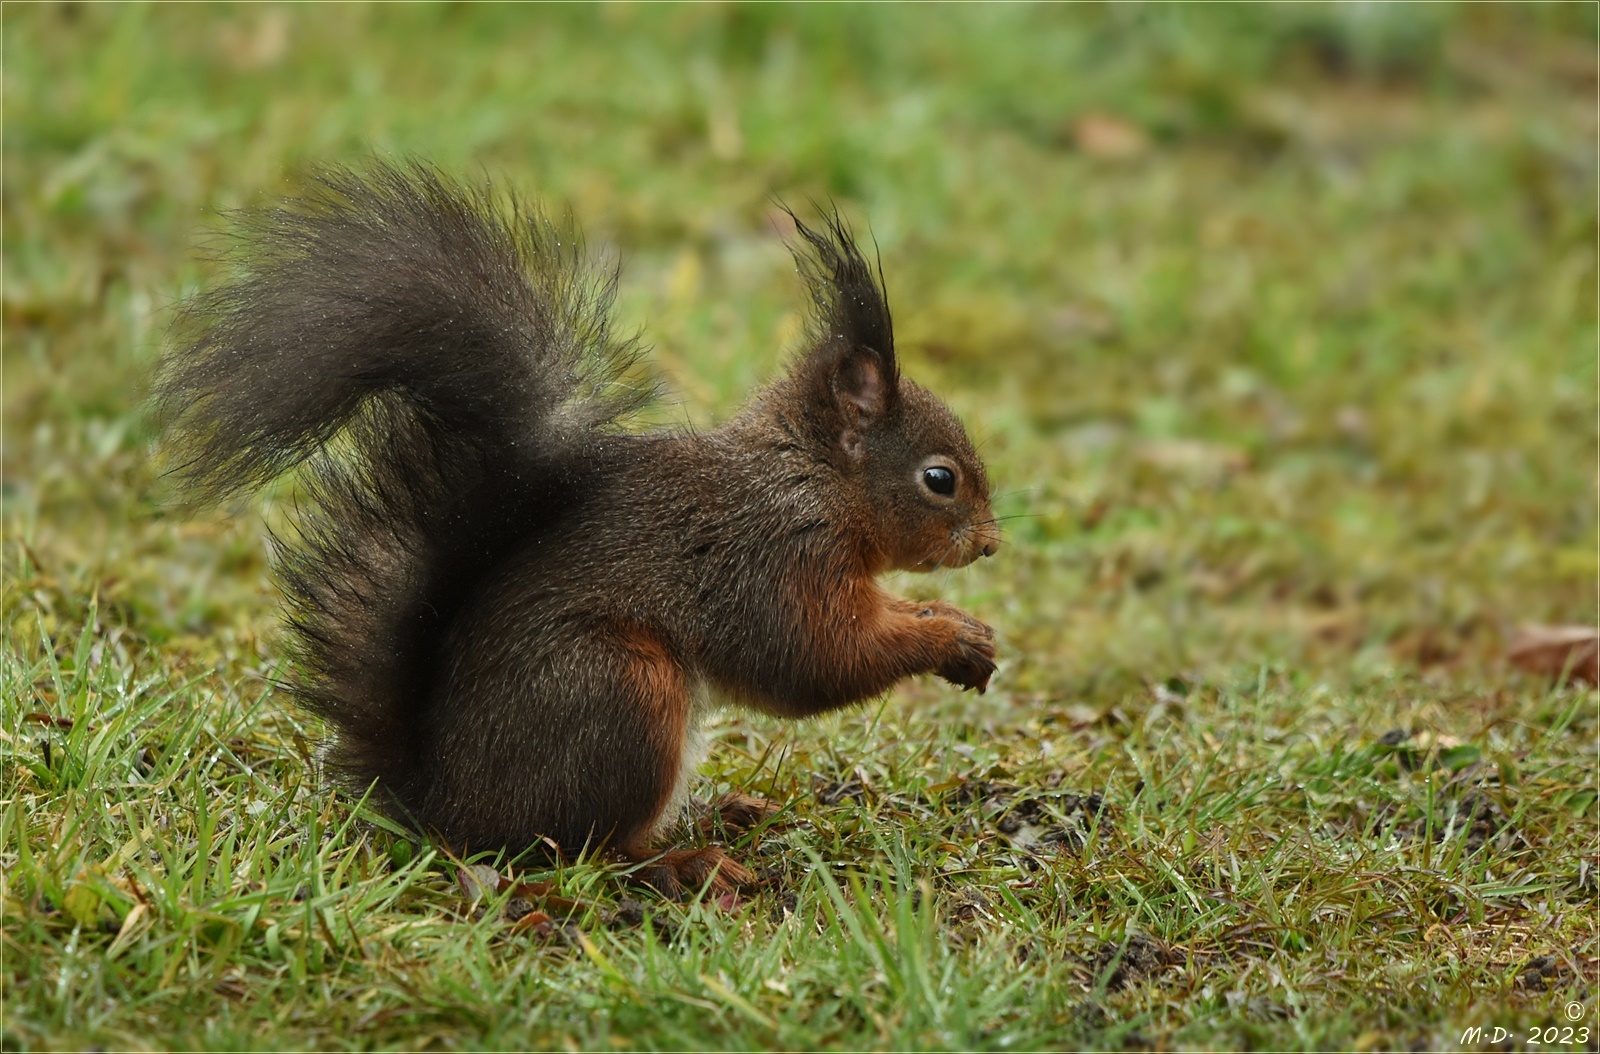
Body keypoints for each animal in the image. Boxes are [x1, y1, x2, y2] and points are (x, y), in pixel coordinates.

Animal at [156, 164, 992, 902]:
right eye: (939, 479)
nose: (989, 545)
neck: (809, 477)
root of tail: (440, 804)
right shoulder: (773, 556)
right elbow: (815, 658)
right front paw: (946, 635)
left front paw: (957, 625)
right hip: (618, 692)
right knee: (586, 850)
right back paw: (682, 863)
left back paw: (723, 813)